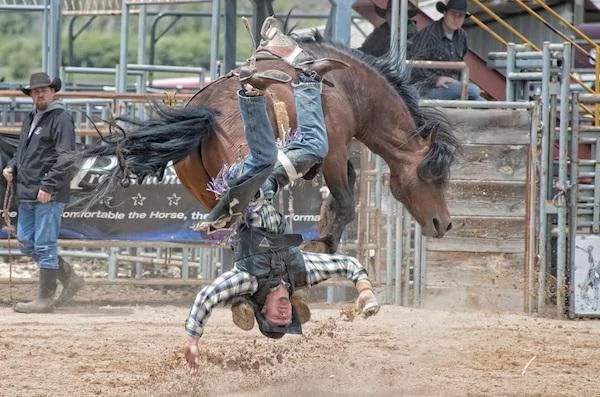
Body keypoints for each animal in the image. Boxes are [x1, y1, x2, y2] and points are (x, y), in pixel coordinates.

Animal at [76, 32, 460, 252]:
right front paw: (323, 244)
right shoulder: (334, 151)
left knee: (230, 223)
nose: (444, 224)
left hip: (202, 185)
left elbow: (342, 193)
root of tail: (207, 114)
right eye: (432, 175)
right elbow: (346, 201)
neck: (348, 88)